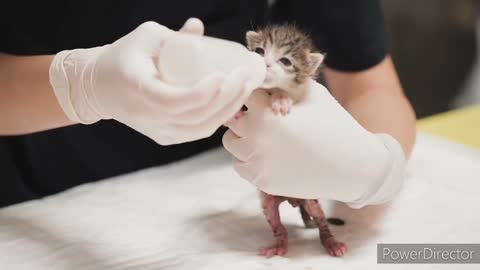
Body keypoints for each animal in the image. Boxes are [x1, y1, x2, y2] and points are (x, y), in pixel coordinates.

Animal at [246, 24, 346, 258]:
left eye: (285, 61)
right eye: (259, 51)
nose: (264, 64)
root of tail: (293, 199)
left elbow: (287, 94)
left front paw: (281, 98)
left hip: (311, 199)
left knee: (321, 220)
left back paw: (331, 243)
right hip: (268, 201)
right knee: (277, 224)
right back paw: (279, 245)